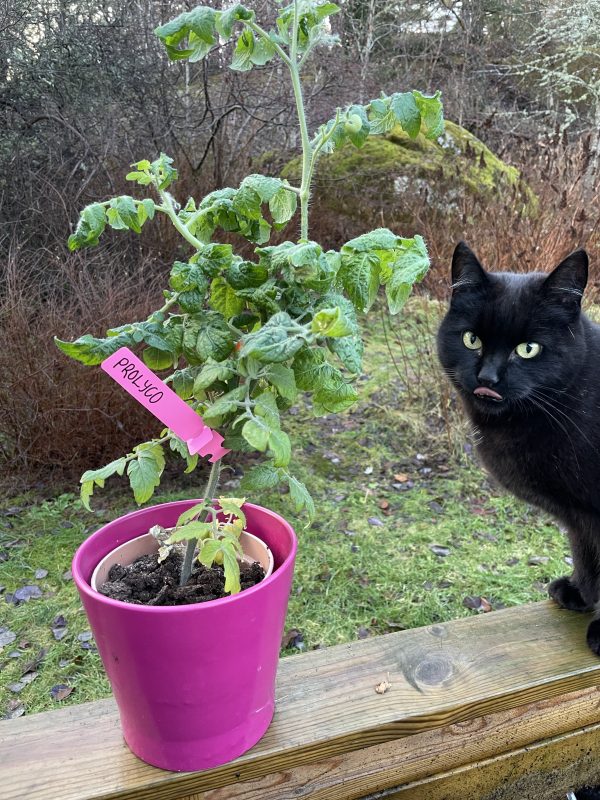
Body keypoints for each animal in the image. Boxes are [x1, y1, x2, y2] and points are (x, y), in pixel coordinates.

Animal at [436, 241, 600, 652]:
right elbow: (587, 555)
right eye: (472, 339)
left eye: (528, 349)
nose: (487, 377)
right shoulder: (581, 519)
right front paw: (580, 593)